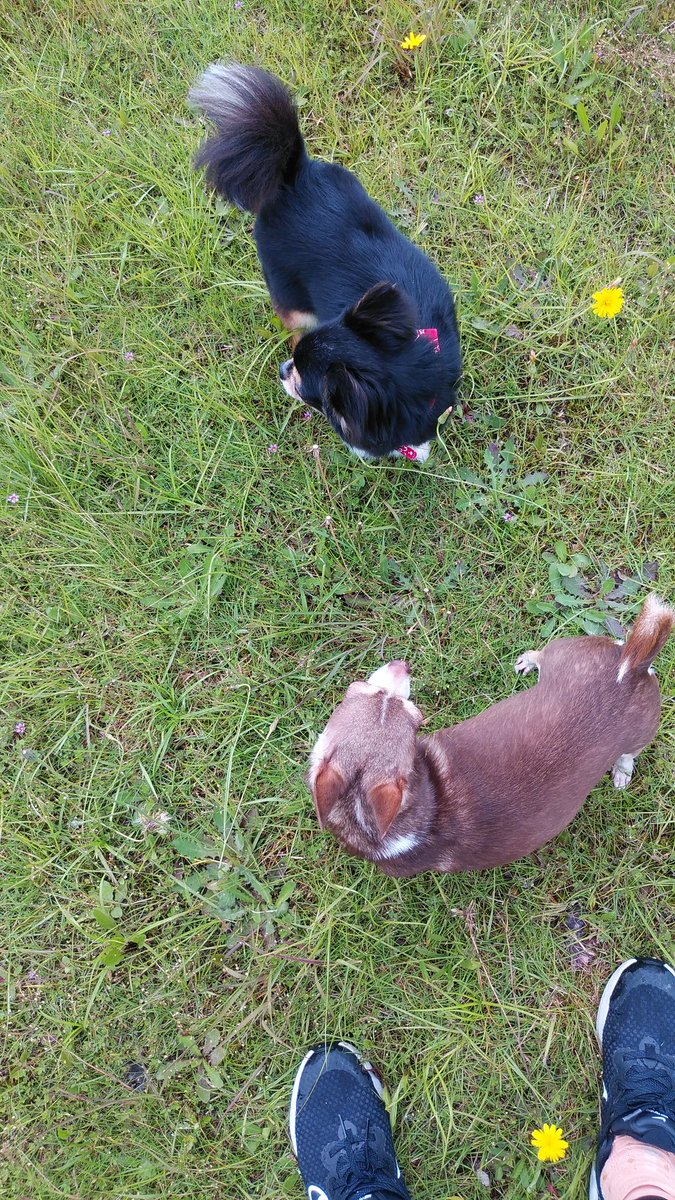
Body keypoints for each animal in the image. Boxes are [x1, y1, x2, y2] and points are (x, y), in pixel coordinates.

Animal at [307, 595, 667, 878]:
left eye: (415, 716)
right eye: (360, 689)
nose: (403, 665)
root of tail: (629, 669)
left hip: (636, 725)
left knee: (627, 752)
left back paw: (621, 771)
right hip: (572, 655)